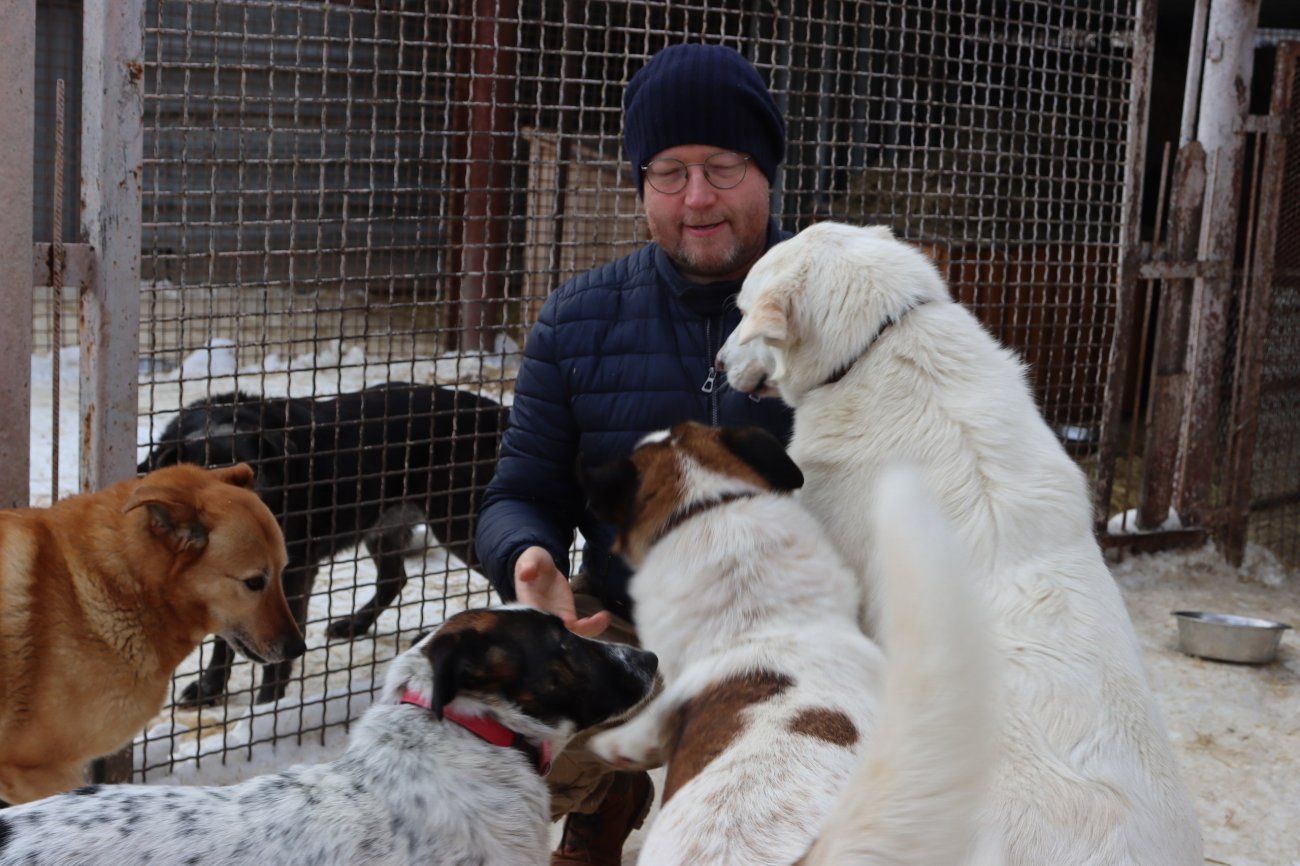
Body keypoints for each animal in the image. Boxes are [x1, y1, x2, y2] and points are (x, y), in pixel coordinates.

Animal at [141, 379, 506, 702]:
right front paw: (210, 688)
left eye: (255, 476)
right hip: (385, 527)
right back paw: (356, 625)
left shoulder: (293, 573)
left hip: (457, 523)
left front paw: (269, 706)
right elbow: (225, 636)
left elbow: (276, 656)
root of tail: (494, 411)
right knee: (394, 579)